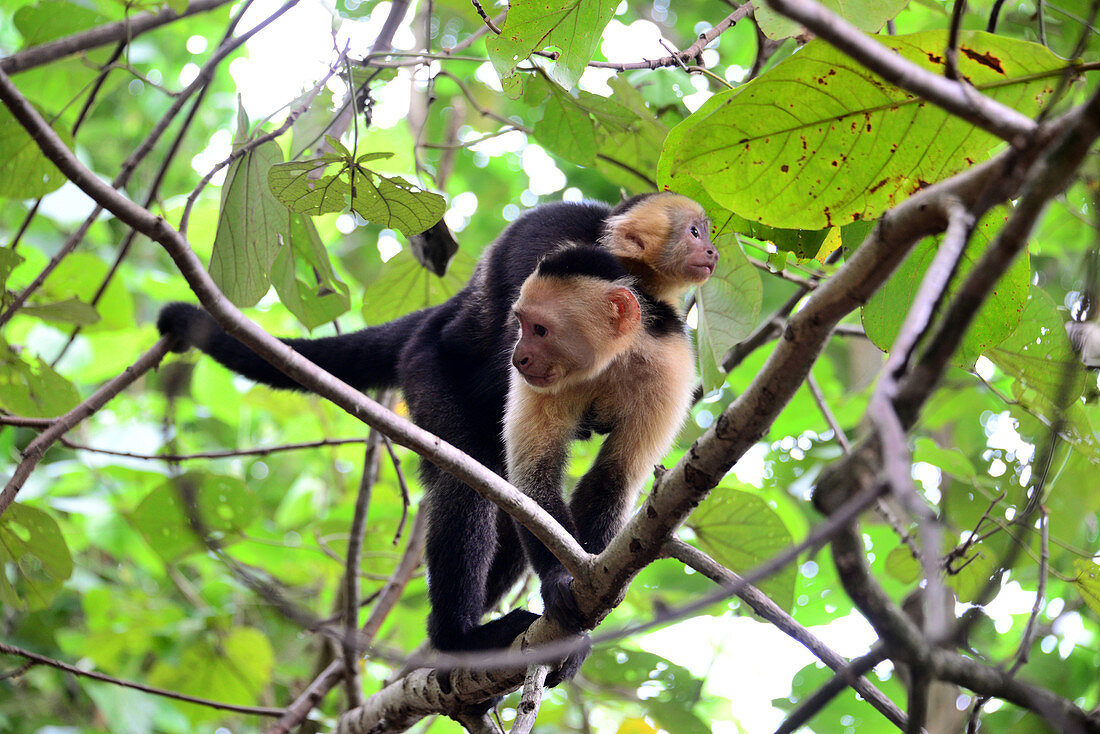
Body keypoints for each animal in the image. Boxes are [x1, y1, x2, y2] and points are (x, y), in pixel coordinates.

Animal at [159, 191, 717, 682]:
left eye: (703, 232)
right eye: (528, 326)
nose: (710, 249)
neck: (613, 354)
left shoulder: (667, 367)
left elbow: (611, 480)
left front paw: (585, 592)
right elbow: (531, 478)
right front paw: (562, 581)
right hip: (425, 364)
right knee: (471, 476)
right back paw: (458, 638)